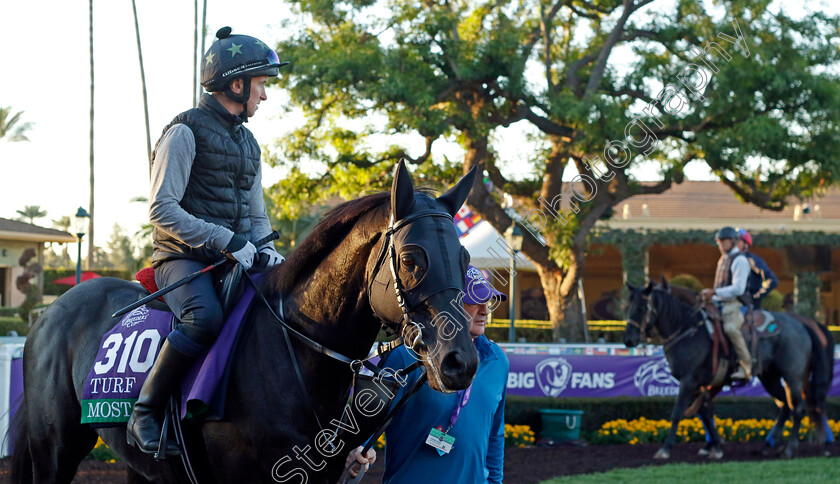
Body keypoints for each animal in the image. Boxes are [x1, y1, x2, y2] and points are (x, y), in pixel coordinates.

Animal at [13, 162, 482, 480]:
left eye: (464, 259)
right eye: (411, 259)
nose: (460, 361)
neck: (293, 349)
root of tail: (49, 312)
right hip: (54, 448)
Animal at [624, 278, 832, 460]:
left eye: (642, 308)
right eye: (628, 308)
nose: (629, 340)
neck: (690, 330)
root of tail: (803, 324)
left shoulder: (689, 381)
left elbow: (678, 412)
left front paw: (665, 449)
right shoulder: (700, 384)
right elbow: (705, 413)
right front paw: (715, 447)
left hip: (793, 377)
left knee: (799, 408)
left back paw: (790, 449)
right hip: (770, 378)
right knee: (786, 407)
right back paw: (767, 447)